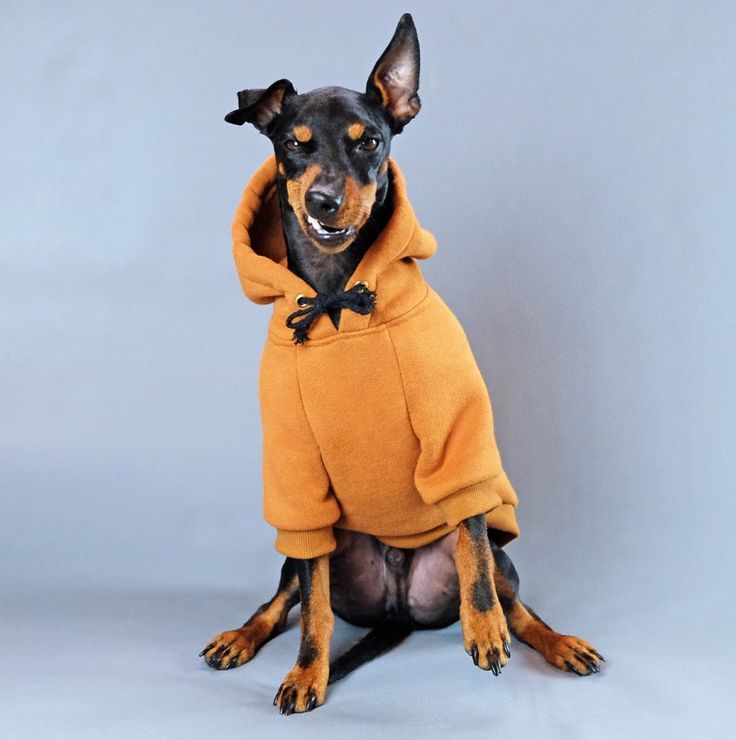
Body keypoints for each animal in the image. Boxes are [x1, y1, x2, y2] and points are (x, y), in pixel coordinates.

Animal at [201, 14, 604, 712]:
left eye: (371, 142)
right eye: (294, 146)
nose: (325, 200)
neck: (337, 292)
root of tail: (397, 612)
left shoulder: (456, 433)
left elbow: (472, 536)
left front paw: (483, 629)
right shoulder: (297, 479)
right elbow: (313, 613)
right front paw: (307, 673)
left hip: (502, 560)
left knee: (514, 600)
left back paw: (552, 640)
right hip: (313, 548)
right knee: (285, 599)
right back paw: (241, 636)